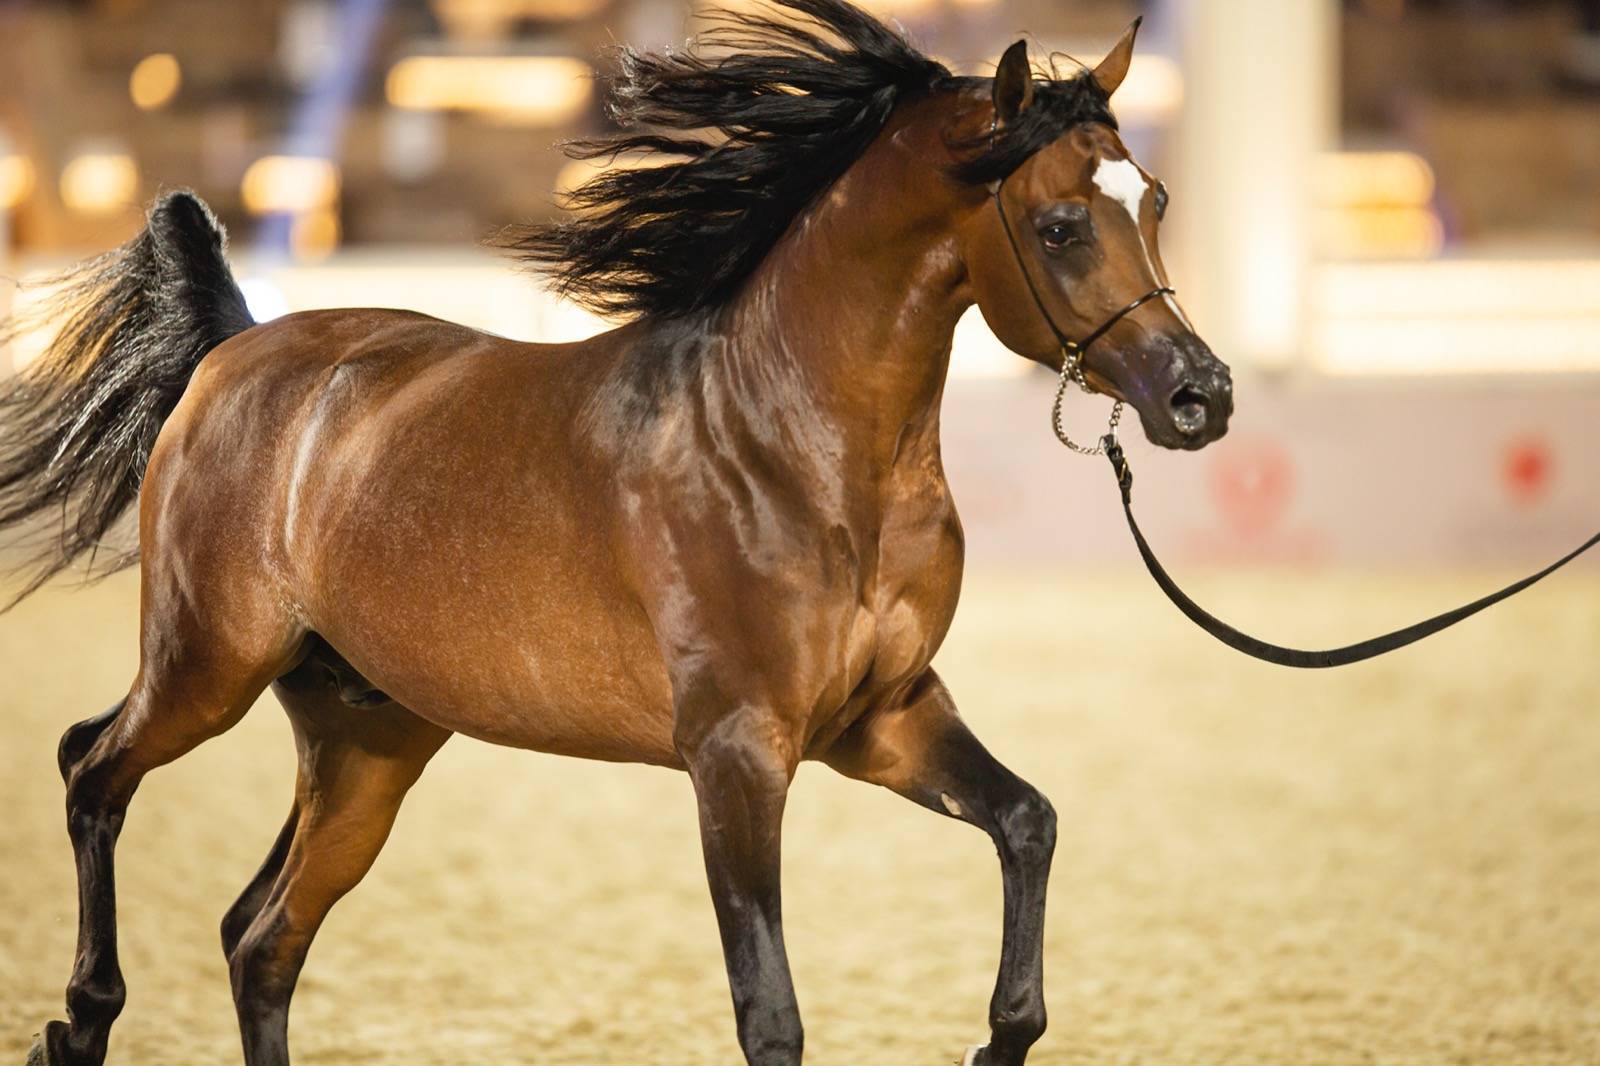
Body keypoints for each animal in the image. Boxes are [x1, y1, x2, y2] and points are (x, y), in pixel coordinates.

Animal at [2, 1, 1231, 1062]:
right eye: (1060, 225)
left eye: (1156, 200)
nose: (1200, 397)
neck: (794, 452)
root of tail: (235, 347)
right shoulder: (736, 755)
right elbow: (770, 1015)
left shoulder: (881, 719)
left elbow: (1028, 822)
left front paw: (995, 1036)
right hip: (207, 666)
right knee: (90, 770)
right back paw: (78, 1018)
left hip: (366, 743)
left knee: (260, 939)